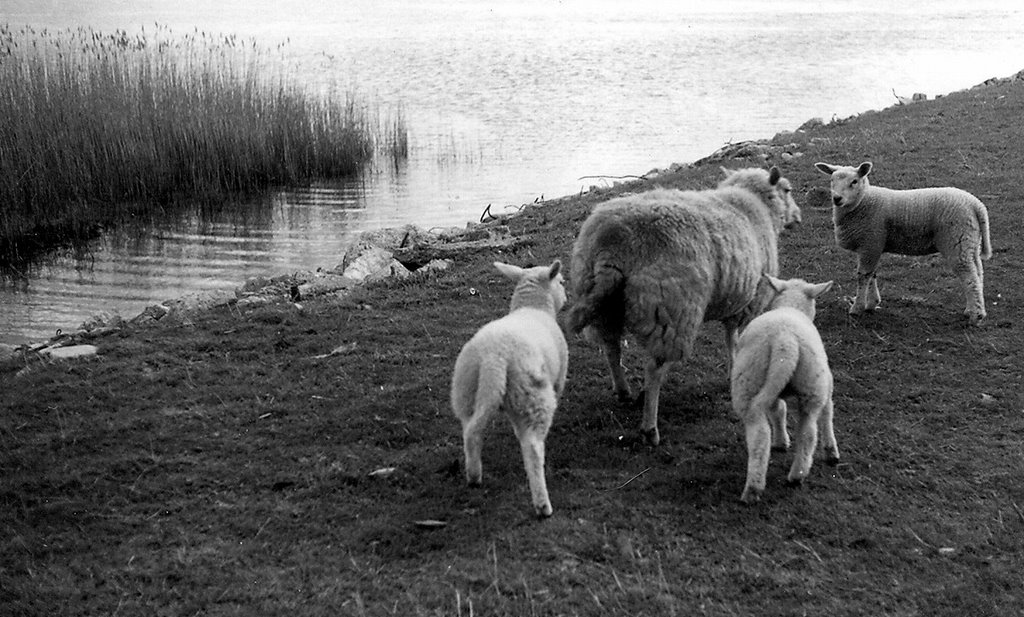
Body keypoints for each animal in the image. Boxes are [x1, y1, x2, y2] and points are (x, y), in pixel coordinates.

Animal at [454, 257, 573, 519]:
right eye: (561, 281)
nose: (567, 298)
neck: (533, 308)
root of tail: (494, 357)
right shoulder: (558, 378)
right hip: (533, 394)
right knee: (533, 448)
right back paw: (543, 505)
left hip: (466, 391)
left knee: (470, 431)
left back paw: (474, 476)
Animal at [569, 165, 798, 444]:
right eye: (788, 189)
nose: (798, 217)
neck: (753, 203)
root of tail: (612, 248)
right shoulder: (746, 299)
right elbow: (732, 336)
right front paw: (733, 369)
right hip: (671, 311)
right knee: (654, 368)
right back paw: (650, 428)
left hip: (603, 304)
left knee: (612, 348)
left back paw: (623, 392)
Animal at [729, 278, 839, 505]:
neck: (790, 307)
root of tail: (785, 340)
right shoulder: (827, 386)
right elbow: (828, 413)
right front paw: (831, 451)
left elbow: (778, 410)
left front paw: (781, 442)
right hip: (811, 386)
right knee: (802, 433)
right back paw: (787, 478)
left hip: (756, 383)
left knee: (774, 434)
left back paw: (764, 484)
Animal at [811, 159, 987, 323]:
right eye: (832, 180)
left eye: (854, 181)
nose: (837, 199)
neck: (863, 201)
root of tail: (976, 205)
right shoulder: (873, 245)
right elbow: (872, 274)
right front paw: (872, 303)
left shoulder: (870, 242)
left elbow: (863, 276)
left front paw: (857, 308)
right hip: (970, 242)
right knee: (978, 274)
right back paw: (973, 309)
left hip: (956, 240)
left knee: (970, 278)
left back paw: (976, 315)